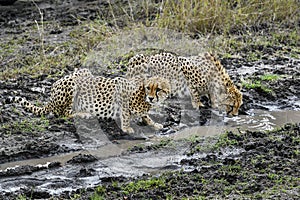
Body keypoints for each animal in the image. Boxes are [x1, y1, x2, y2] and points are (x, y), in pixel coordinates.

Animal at [11, 69, 171, 133]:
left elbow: (145, 116)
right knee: (65, 113)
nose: (151, 97)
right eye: (148, 87)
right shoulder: (121, 91)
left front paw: (154, 124)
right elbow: (125, 113)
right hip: (74, 83)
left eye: (158, 89)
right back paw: (84, 114)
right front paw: (126, 128)